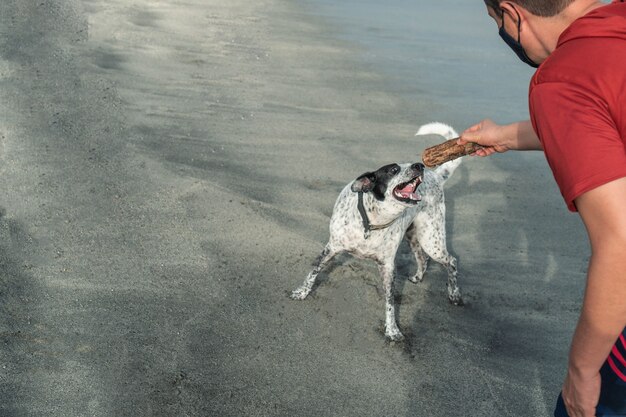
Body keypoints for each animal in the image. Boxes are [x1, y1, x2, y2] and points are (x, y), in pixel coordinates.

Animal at [290, 122, 460, 340]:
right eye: (394, 169)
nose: (419, 165)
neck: (372, 222)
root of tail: (436, 175)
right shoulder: (331, 247)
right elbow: (313, 271)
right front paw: (301, 292)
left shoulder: (387, 267)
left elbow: (390, 302)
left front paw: (392, 329)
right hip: (414, 236)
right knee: (423, 258)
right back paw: (418, 277)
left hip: (431, 240)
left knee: (451, 261)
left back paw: (454, 294)